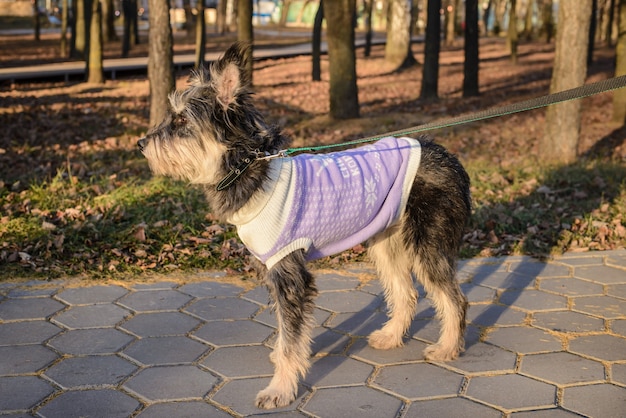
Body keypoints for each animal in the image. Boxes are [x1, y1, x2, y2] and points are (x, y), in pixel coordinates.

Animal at [136, 42, 468, 408]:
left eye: (181, 119)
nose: (141, 144)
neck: (250, 167)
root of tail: (450, 158)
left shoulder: (290, 274)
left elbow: (291, 338)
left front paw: (280, 388)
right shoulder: (275, 272)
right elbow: (287, 332)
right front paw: (284, 362)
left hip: (427, 246)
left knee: (454, 298)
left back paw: (447, 347)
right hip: (386, 242)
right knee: (406, 292)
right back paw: (392, 336)